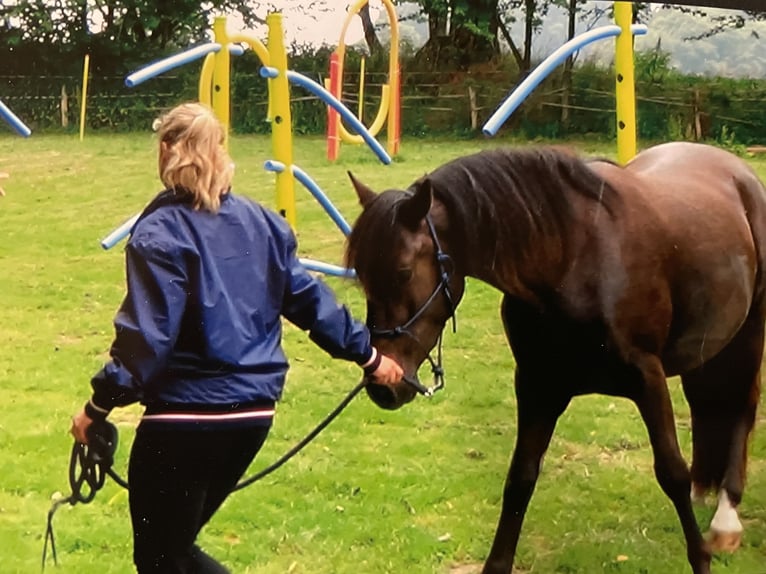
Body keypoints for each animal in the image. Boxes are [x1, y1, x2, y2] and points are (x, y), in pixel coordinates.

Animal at [348, 143, 766, 574]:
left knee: (742, 408)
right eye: (360, 273)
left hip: (749, 334)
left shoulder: (647, 378)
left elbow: (671, 472)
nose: (382, 387)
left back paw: (726, 517)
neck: (571, 260)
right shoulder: (537, 385)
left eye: (403, 271)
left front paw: (701, 555)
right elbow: (520, 478)